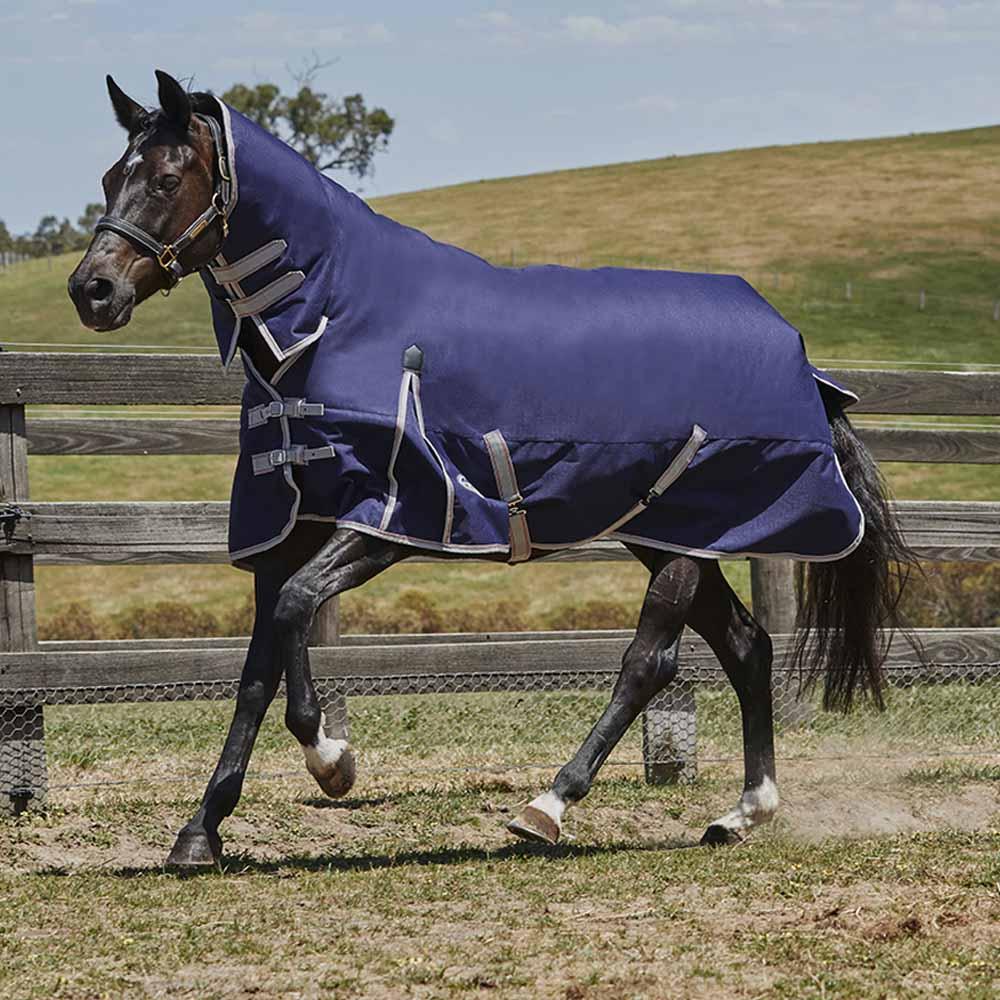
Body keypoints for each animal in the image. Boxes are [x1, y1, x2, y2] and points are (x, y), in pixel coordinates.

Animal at [68, 71, 914, 868]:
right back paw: (742, 813)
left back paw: (548, 806)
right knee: (746, 645)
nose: (92, 290)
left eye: (166, 179)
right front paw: (200, 832)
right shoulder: (289, 528)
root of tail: (798, 354)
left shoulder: (396, 516)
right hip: (670, 532)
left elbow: (297, 614)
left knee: (652, 661)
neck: (334, 319)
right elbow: (256, 667)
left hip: (686, 535)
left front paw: (333, 761)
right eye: (111, 176)